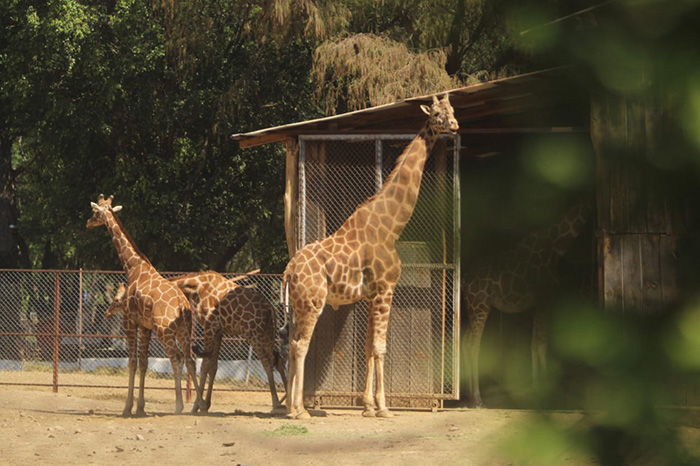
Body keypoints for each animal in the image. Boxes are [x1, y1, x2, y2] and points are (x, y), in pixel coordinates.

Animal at [86, 194, 201, 416]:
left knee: (177, 358)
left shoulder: (129, 321)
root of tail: (182, 305)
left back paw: (179, 405)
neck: (133, 267)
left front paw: (127, 407)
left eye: (95, 212)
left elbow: (132, 362)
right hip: (183, 329)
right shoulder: (145, 326)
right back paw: (199, 405)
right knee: (191, 359)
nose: (88, 222)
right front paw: (140, 407)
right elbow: (144, 362)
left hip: (165, 330)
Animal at [167, 271, 288, 413]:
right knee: (278, 359)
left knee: (267, 363)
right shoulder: (219, 331)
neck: (198, 287)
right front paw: (206, 404)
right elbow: (213, 367)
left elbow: (205, 366)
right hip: (267, 334)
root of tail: (271, 309)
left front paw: (197, 407)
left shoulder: (209, 326)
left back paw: (276, 404)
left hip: (253, 334)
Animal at [283, 94, 459, 419]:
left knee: (290, 343)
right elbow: (380, 348)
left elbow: (367, 347)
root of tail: (289, 269)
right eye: (436, 114)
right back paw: (300, 410)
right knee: (300, 345)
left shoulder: (370, 295)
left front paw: (367, 406)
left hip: (299, 304)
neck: (390, 228)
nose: (454, 126)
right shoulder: (386, 289)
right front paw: (384, 407)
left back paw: (288, 406)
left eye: (452, 111)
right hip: (313, 303)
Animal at [462, 201, 592, 407]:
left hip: (471, 310)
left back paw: (468, 395)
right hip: (480, 307)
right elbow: (541, 343)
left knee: (464, 342)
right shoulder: (545, 300)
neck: (556, 246)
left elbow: (534, 343)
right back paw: (477, 398)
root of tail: (464, 280)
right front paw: (545, 391)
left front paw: (538, 388)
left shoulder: (538, 304)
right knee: (472, 345)